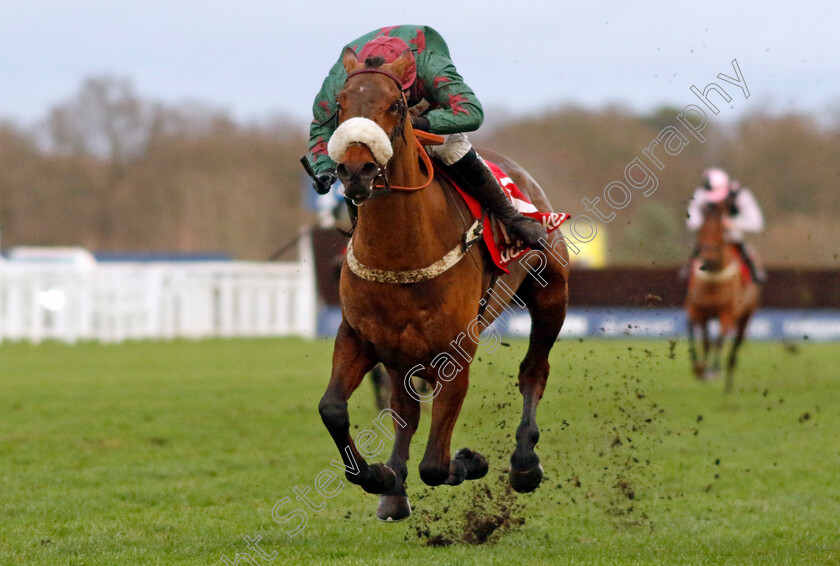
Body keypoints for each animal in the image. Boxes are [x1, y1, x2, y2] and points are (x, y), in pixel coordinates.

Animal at [316, 48, 572, 524]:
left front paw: (469, 461)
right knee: (405, 410)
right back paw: (394, 492)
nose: (356, 170)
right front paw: (378, 476)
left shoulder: (456, 350)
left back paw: (524, 464)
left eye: (395, 105)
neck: (400, 252)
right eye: (340, 105)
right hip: (398, 354)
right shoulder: (360, 336)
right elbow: (333, 410)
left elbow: (435, 464)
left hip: (551, 293)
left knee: (534, 370)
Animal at [688, 197, 760, 392]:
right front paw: (699, 369)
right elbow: (699, 338)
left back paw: (728, 383)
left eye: (720, 232)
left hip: (745, 318)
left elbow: (719, 341)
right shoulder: (697, 310)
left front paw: (714, 370)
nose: (706, 261)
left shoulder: (727, 313)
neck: (713, 281)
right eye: (701, 230)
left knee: (734, 350)